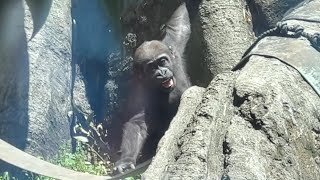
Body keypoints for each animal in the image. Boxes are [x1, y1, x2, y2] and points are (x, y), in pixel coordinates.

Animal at [115, 2, 190, 173]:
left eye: (162, 62)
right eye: (151, 68)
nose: (162, 72)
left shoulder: (173, 46)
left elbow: (179, 25)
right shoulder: (140, 93)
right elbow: (137, 123)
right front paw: (126, 160)